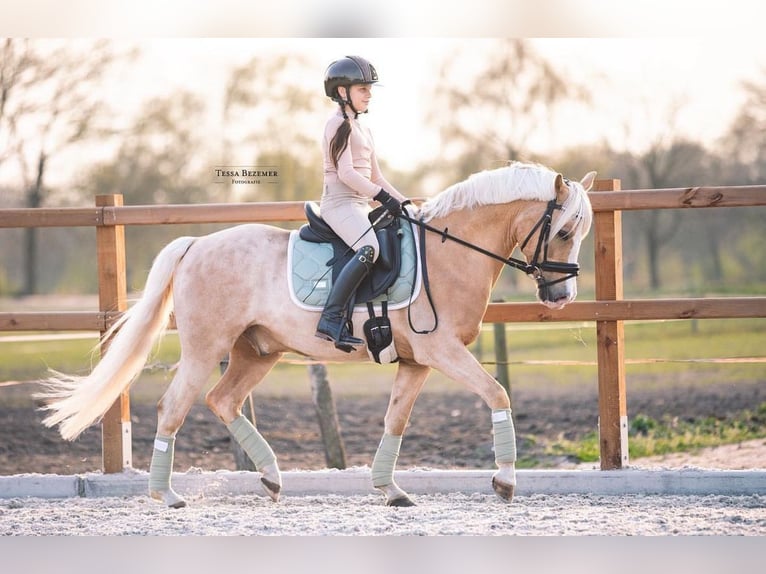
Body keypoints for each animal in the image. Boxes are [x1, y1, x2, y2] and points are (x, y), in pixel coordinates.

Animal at [37, 161, 600, 508]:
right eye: (564, 231)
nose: (561, 296)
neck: (449, 252)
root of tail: (196, 244)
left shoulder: (417, 361)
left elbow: (396, 421)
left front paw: (390, 490)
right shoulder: (441, 351)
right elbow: (497, 393)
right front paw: (504, 481)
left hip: (257, 352)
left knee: (223, 400)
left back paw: (270, 476)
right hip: (205, 349)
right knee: (173, 407)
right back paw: (168, 496)